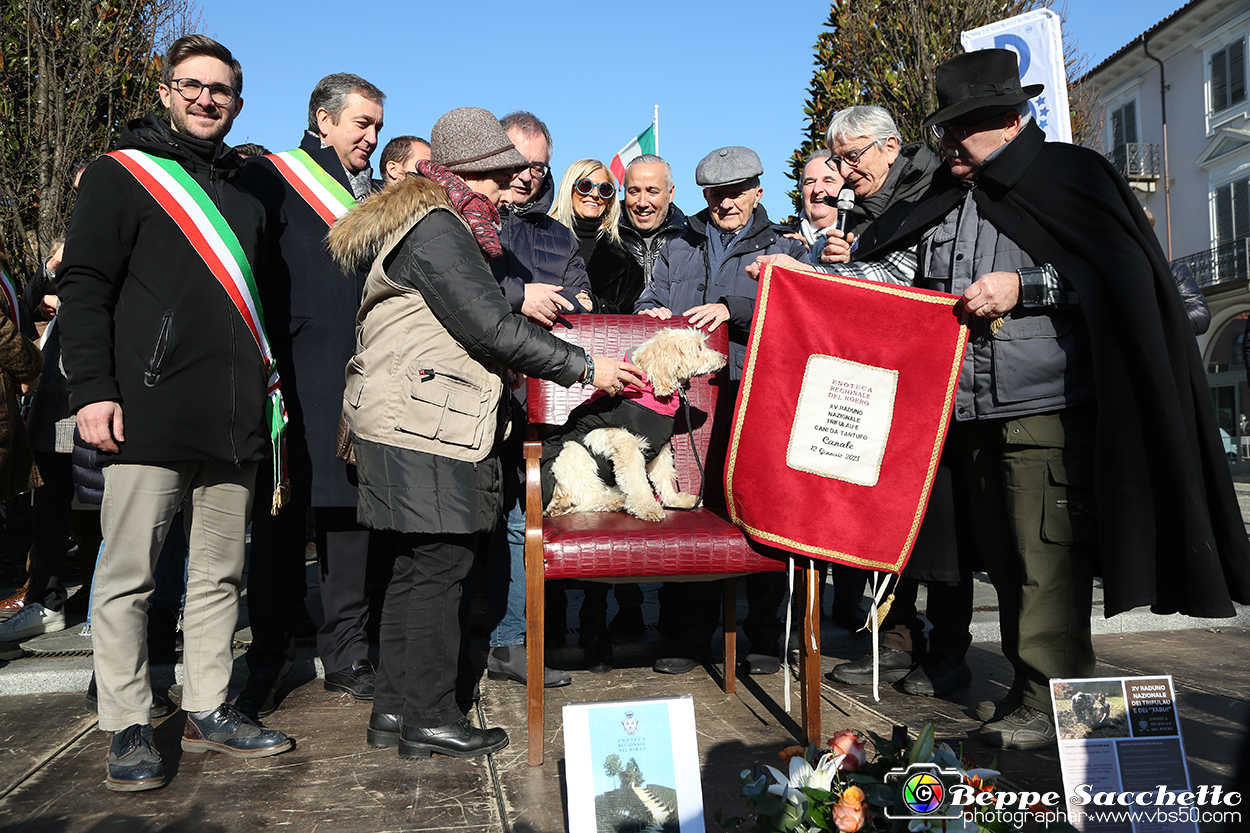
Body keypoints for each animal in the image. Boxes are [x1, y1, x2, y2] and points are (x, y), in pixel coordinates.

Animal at [540, 330, 730, 520]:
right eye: (699, 348)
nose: (725, 358)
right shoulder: (626, 446)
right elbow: (636, 481)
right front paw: (647, 507)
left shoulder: (660, 448)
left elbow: (664, 477)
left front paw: (675, 500)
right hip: (573, 453)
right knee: (588, 498)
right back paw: (613, 502)